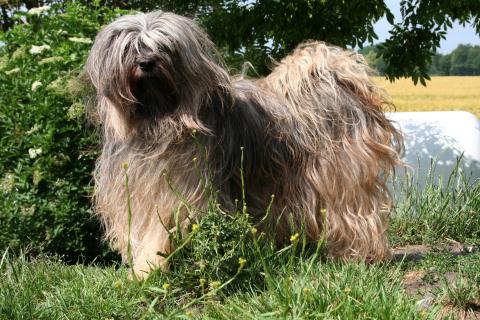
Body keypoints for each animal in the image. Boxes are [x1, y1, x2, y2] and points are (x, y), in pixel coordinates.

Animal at [84, 11, 404, 278]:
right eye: (131, 47)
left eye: (166, 48)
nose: (146, 63)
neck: (159, 119)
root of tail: (333, 77)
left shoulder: (180, 190)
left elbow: (159, 231)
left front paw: (145, 272)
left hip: (342, 175)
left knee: (355, 211)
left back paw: (361, 256)